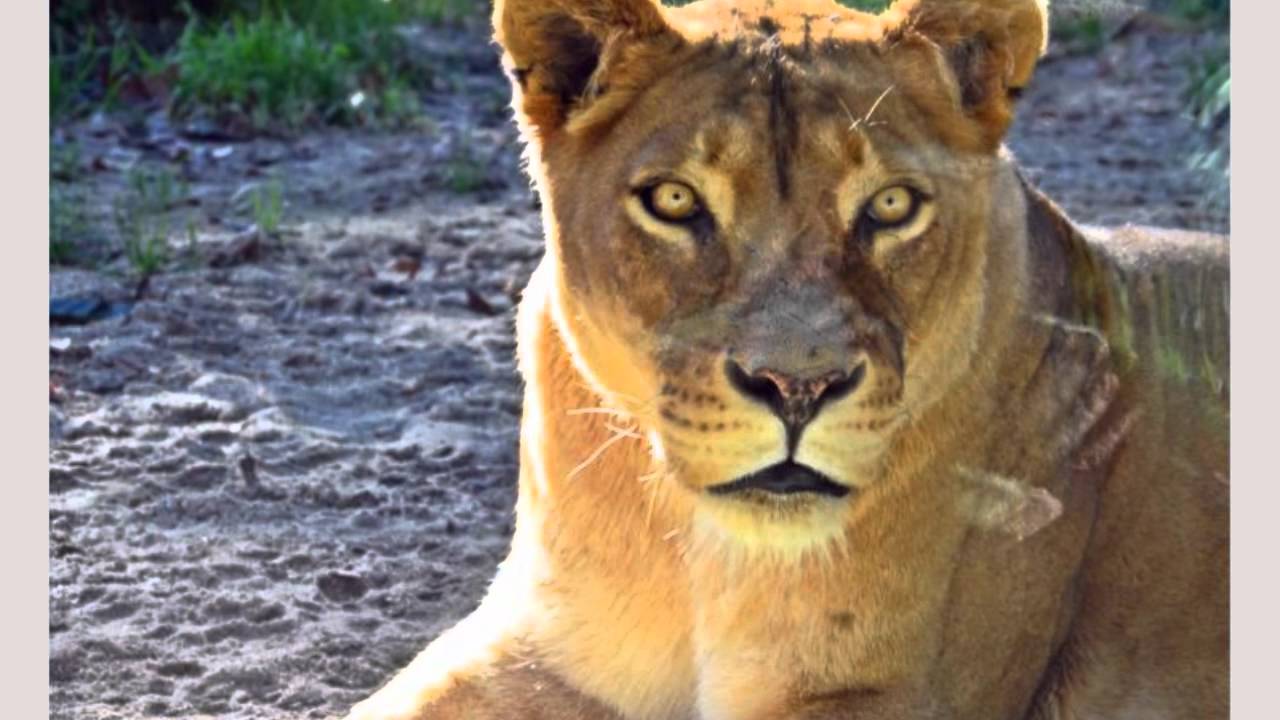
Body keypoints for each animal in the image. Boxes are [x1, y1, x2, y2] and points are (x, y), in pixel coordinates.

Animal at [346, 1, 1229, 718]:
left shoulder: (879, 694)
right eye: (674, 200)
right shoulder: (543, 648)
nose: (797, 387)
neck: (696, 555)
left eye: (891, 205)